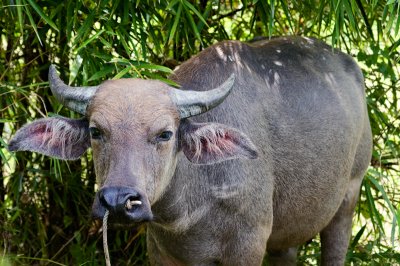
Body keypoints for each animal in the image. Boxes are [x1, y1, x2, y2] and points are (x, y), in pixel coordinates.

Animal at [9, 36, 372, 264]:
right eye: (97, 131)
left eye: (165, 134)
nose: (117, 201)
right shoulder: (161, 251)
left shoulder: (247, 246)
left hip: (350, 193)